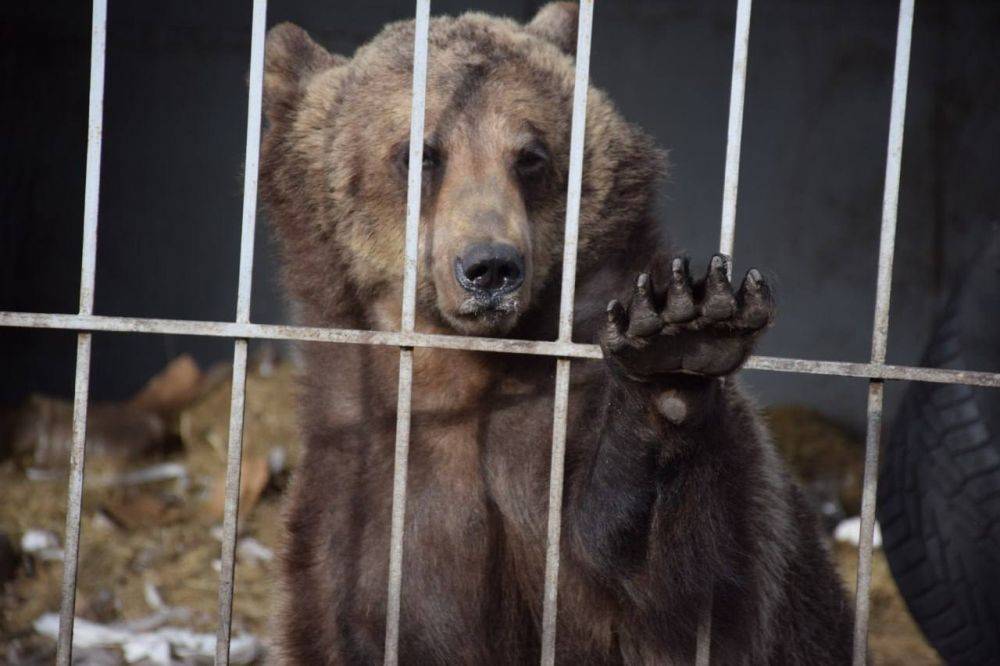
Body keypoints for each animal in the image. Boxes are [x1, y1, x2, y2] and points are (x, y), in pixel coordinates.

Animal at [258, 2, 852, 660]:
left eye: (530, 156)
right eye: (419, 153)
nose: (490, 267)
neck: (467, 373)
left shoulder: (561, 449)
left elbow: (679, 583)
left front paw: (677, 354)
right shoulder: (363, 494)